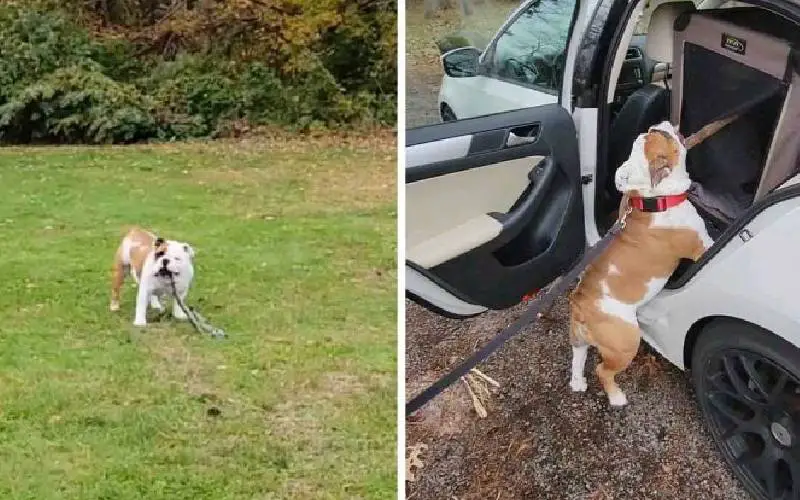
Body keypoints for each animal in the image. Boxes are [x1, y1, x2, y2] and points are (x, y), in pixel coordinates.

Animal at [568, 122, 712, 406]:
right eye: (664, 136)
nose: (659, 124)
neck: (652, 200)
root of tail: (580, 305)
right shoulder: (701, 244)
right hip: (626, 341)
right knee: (602, 370)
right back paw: (616, 397)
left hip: (579, 338)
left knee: (578, 357)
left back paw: (577, 382)